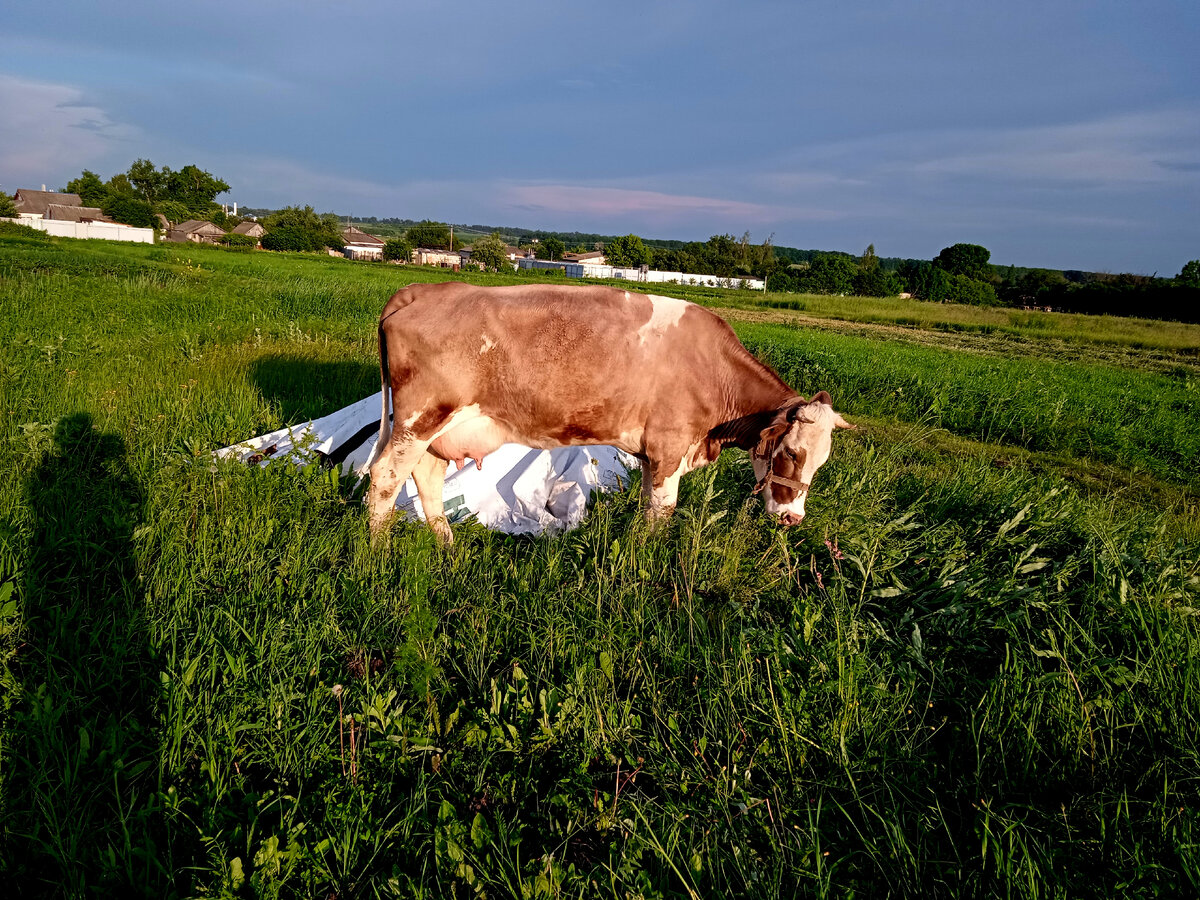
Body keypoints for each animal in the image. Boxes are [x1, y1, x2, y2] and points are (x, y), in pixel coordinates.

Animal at [364, 283, 854, 542]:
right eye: (790, 453)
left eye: (822, 461)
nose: (793, 518)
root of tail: (425, 289)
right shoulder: (669, 447)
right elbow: (663, 509)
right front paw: (650, 559)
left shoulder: (651, 454)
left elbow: (647, 505)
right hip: (420, 419)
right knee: (385, 476)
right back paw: (379, 550)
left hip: (435, 430)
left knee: (425, 477)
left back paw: (445, 546)